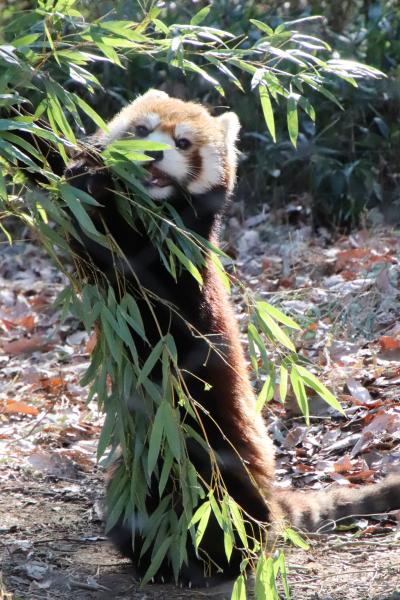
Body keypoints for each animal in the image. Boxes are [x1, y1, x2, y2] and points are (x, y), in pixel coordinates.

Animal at [21, 89, 400, 584]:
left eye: (182, 143)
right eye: (142, 130)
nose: (152, 154)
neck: (150, 208)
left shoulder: (181, 265)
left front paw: (87, 177)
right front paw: (40, 140)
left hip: (226, 457)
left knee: (233, 512)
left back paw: (226, 559)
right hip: (136, 472)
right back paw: (158, 559)